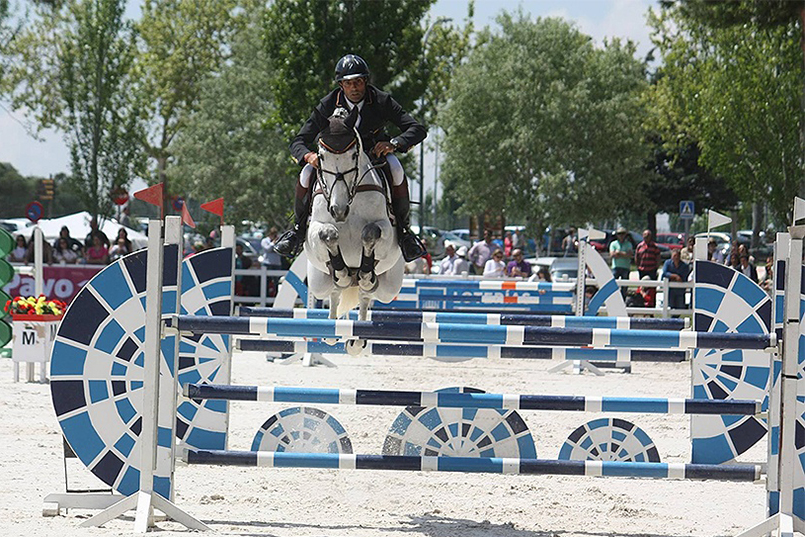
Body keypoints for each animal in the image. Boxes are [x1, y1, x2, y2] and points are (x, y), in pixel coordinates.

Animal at [304, 108, 402, 344]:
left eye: (354, 156)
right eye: (321, 156)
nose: (338, 210)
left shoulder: (386, 232)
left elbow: (370, 233)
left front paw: (365, 272)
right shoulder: (315, 230)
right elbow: (328, 233)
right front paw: (342, 272)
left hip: (390, 287)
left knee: (367, 295)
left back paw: (358, 340)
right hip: (318, 283)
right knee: (334, 293)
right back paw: (331, 330)